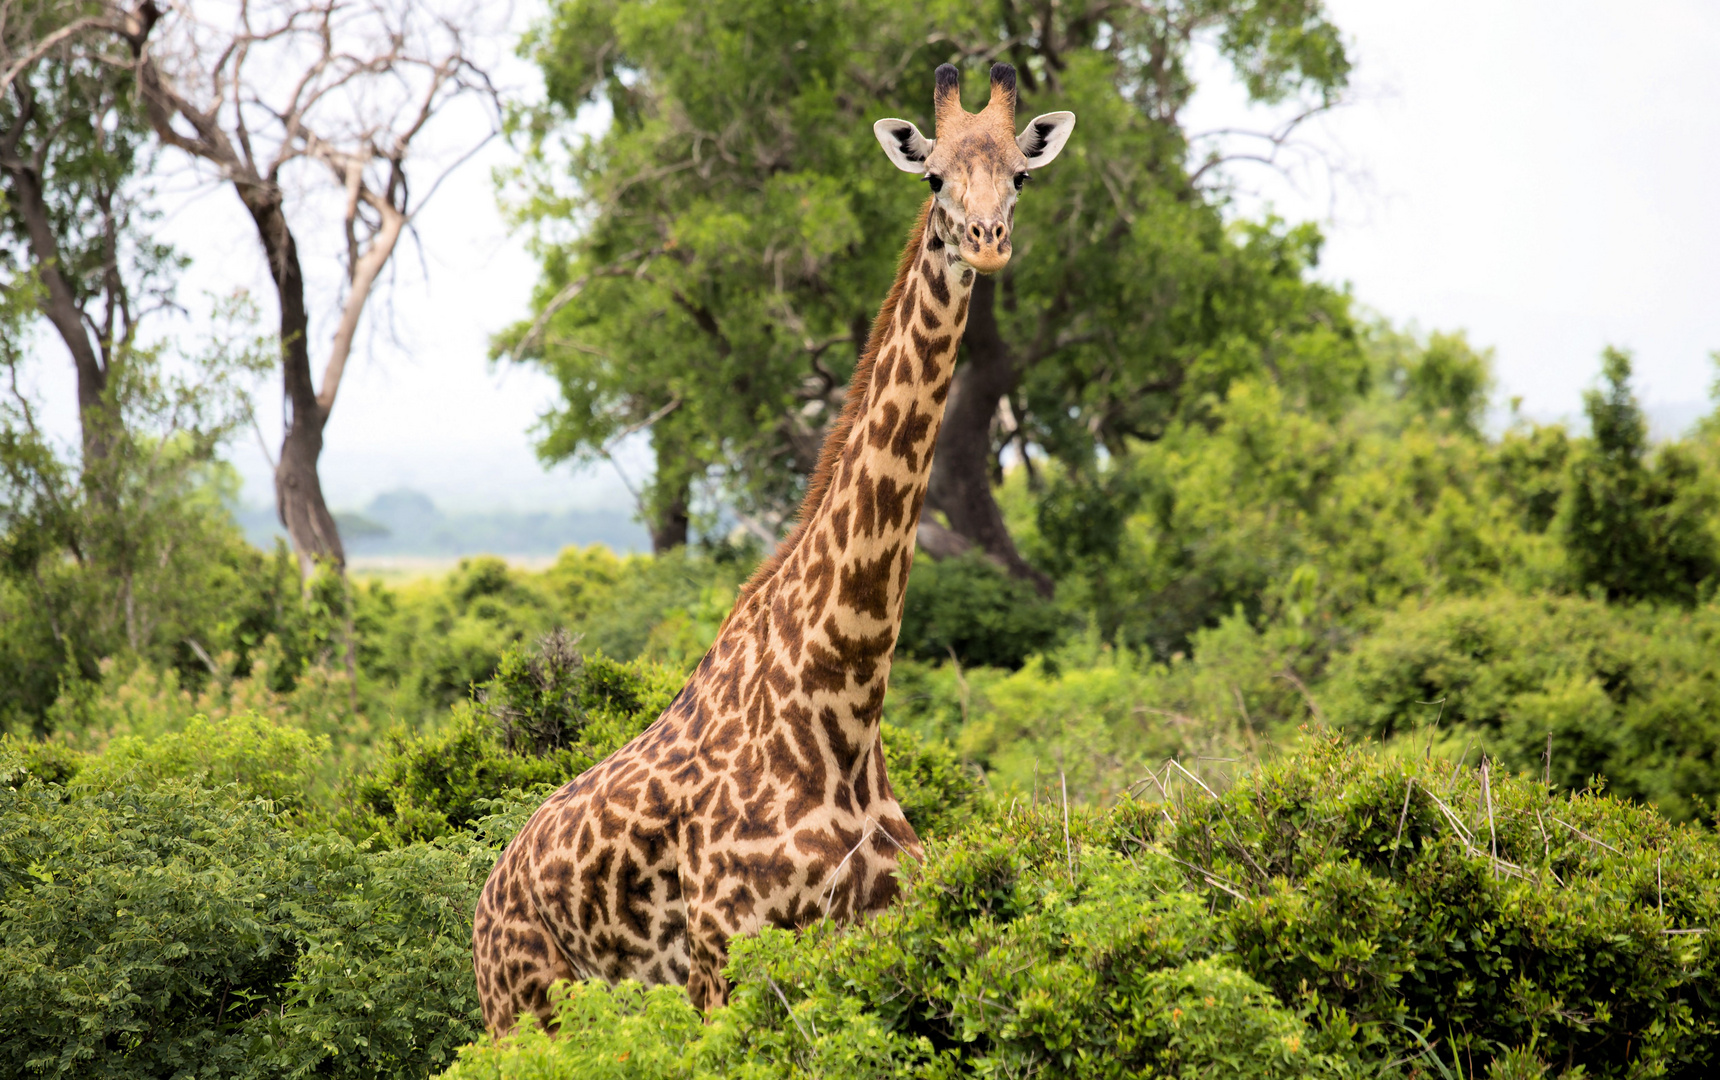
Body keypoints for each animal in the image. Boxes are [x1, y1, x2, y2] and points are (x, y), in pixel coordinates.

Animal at [471, 61, 1073, 1031]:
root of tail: (483, 900)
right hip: (518, 1012)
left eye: (1019, 175)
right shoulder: (722, 958)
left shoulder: (874, 933)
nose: (985, 244)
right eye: (933, 178)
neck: (844, 704)